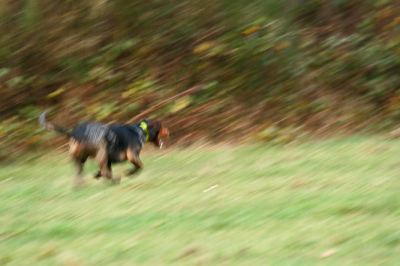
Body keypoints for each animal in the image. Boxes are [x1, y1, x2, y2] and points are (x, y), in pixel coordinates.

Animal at [38, 111, 168, 184]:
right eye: (161, 126)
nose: (169, 131)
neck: (140, 130)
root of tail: (73, 133)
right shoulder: (133, 156)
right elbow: (140, 166)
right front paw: (130, 173)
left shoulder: (110, 160)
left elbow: (104, 171)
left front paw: (96, 175)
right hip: (102, 153)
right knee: (106, 174)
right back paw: (115, 181)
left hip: (81, 159)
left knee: (79, 175)